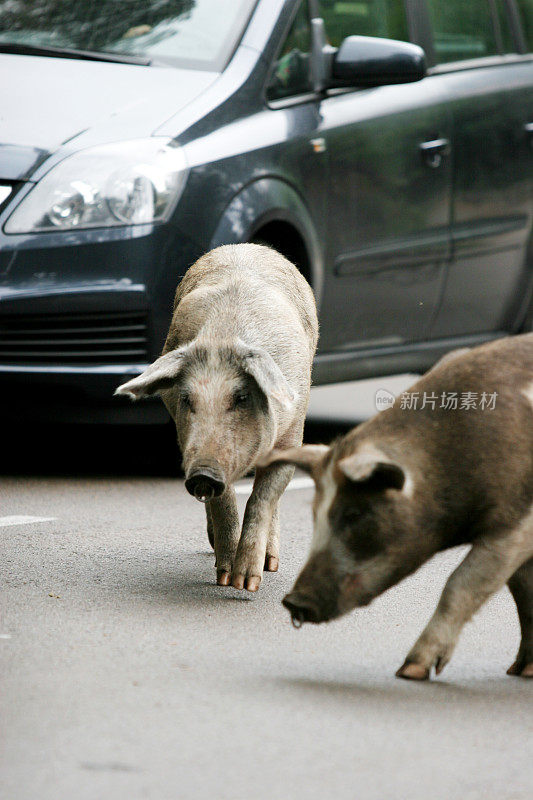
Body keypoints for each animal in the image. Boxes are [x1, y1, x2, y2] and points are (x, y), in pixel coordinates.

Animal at [115, 244, 318, 592]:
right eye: (187, 399)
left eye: (241, 398)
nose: (203, 474)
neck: (223, 339)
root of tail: (247, 246)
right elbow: (224, 501)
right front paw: (224, 579)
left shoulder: (292, 433)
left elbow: (264, 496)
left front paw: (246, 585)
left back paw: (271, 563)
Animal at [262, 334, 532, 680]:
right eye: (314, 514)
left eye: (355, 514)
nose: (295, 602)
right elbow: (524, 594)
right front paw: (520, 670)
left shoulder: (514, 524)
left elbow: (461, 583)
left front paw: (410, 671)